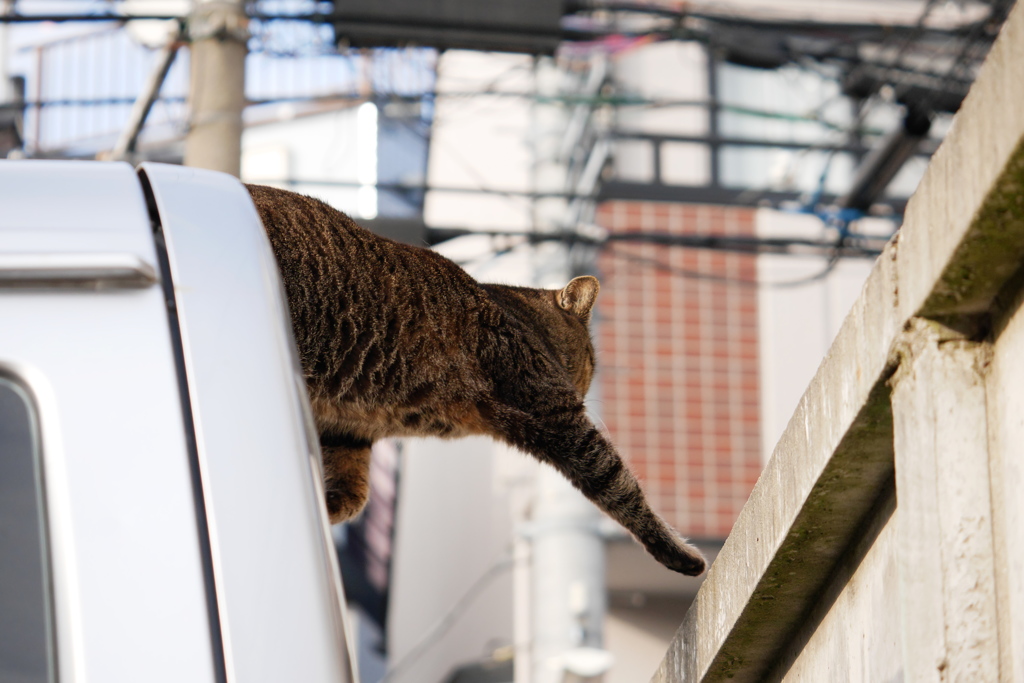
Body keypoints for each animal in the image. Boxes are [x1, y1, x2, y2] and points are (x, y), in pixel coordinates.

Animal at [249, 184, 704, 573]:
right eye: (592, 360)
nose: (588, 385)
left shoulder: (348, 429)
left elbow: (353, 496)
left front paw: (320, 509)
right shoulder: (557, 415)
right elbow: (621, 484)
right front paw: (680, 553)